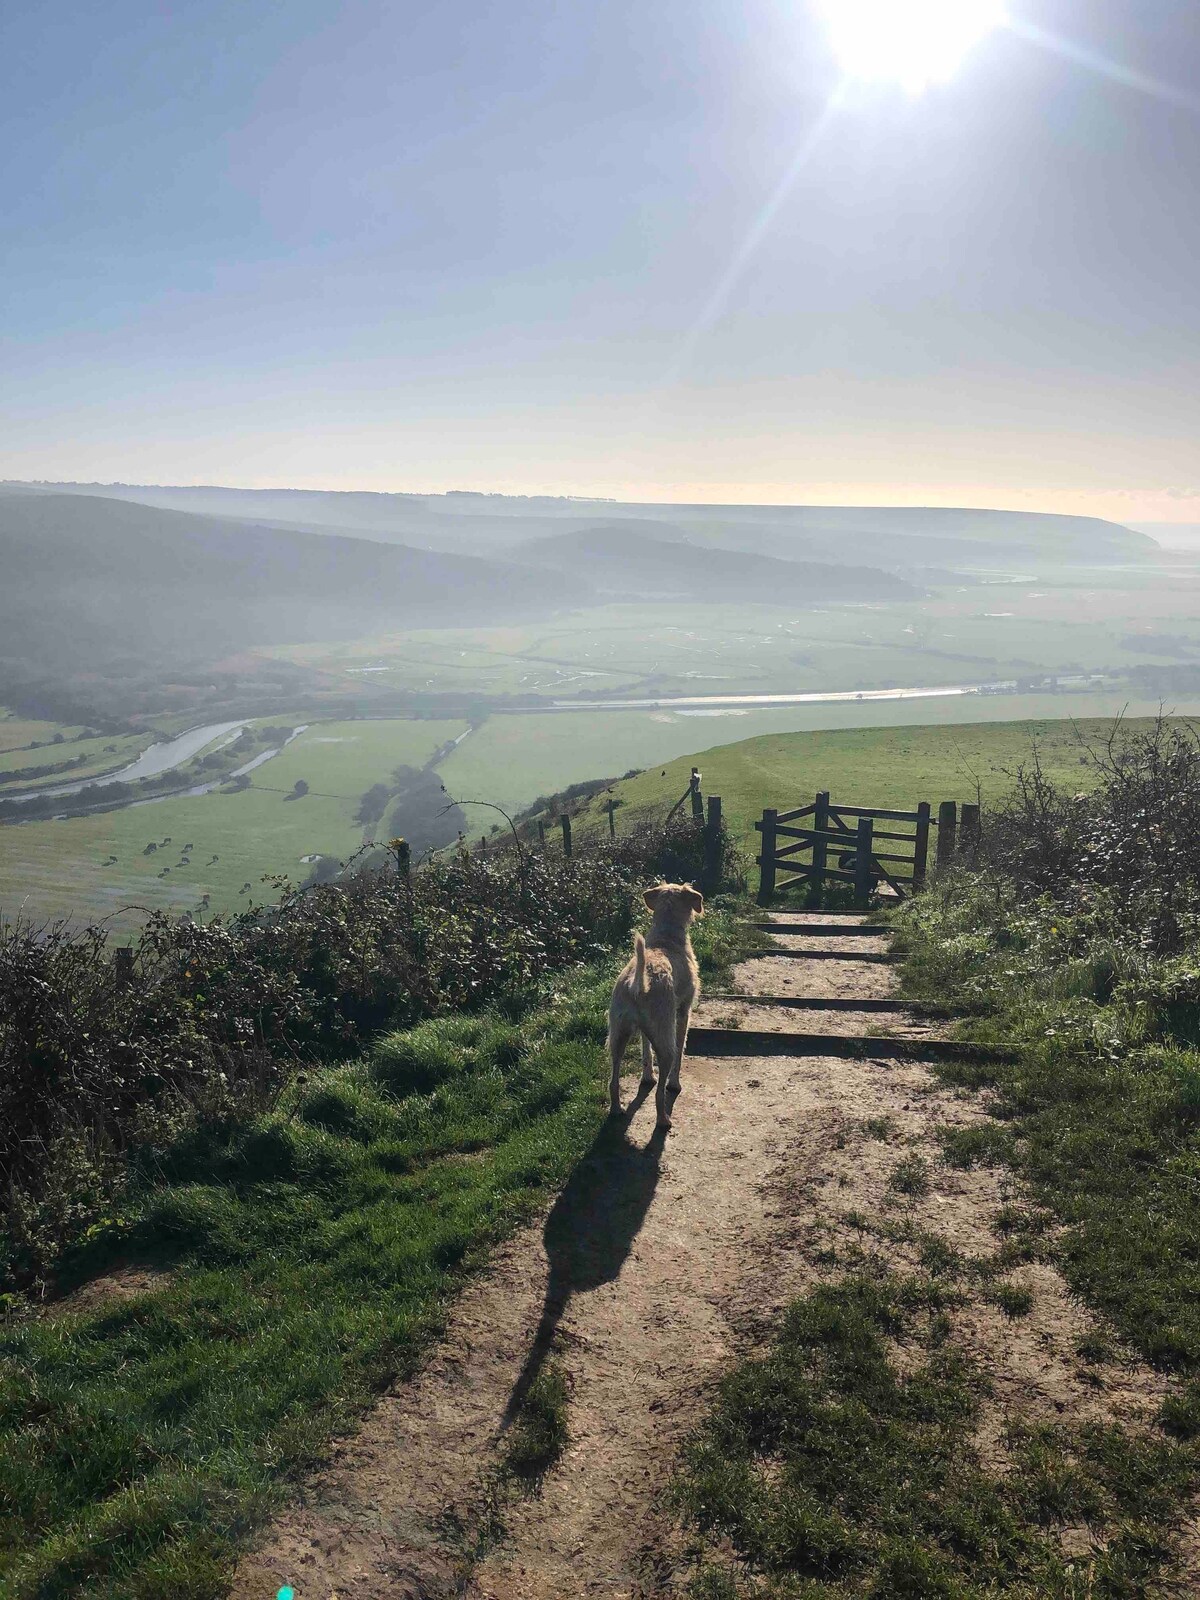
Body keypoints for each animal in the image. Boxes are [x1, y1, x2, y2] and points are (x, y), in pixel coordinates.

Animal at [611, 883, 704, 1132]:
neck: (666, 937)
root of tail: (637, 983)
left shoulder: (646, 1029)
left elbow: (645, 1050)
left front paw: (647, 1077)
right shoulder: (683, 1012)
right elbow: (681, 1049)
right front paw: (675, 1083)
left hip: (617, 1035)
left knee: (613, 1080)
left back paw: (616, 1109)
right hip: (665, 1038)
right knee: (660, 1091)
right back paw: (663, 1119)